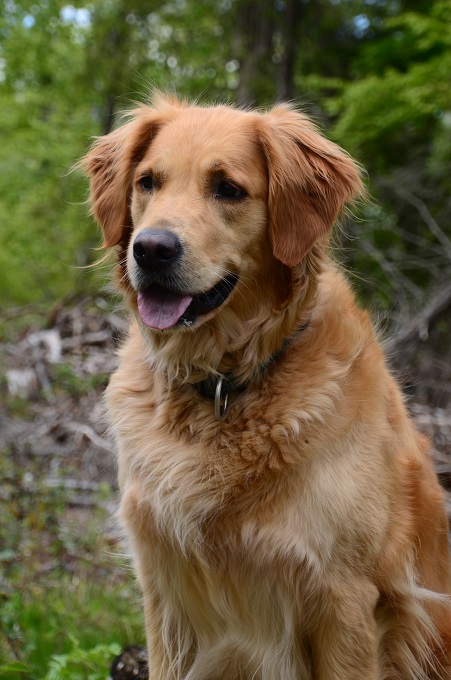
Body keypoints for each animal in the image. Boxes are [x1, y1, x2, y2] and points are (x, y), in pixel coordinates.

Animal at [82, 93, 451, 676]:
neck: (222, 384)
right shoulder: (166, 595)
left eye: (228, 189)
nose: (151, 249)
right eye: (147, 182)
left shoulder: (347, 599)